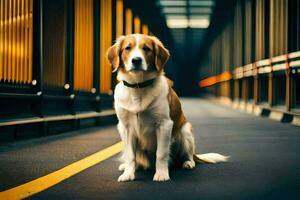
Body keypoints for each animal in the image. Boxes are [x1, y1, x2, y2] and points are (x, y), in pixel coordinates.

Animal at [106, 34, 229, 181]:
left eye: (146, 48)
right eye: (127, 48)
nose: (136, 60)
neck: (139, 85)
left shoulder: (164, 124)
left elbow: (161, 153)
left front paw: (161, 174)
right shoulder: (126, 127)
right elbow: (130, 155)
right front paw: (128, 174)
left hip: (185, 132)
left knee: (188, 156)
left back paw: (188, 163)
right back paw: (130, 166)